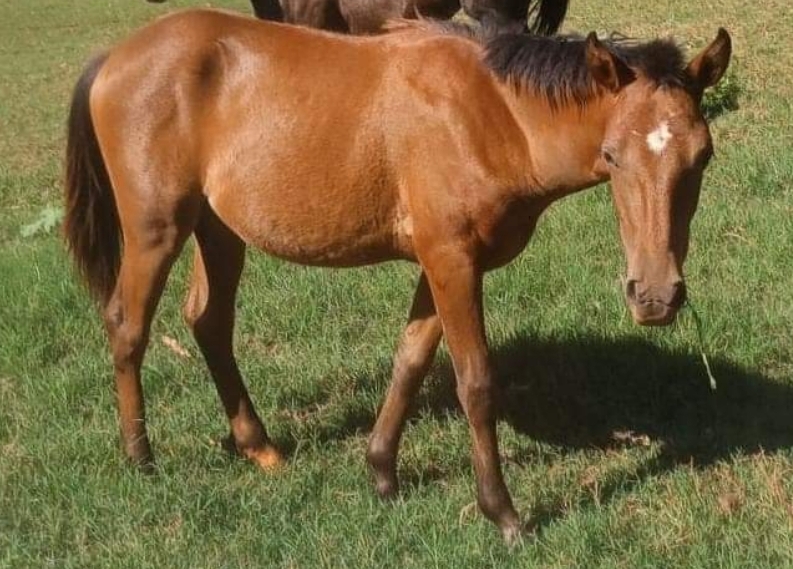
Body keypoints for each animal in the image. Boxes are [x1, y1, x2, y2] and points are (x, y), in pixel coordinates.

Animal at [65, 11, 732, 540]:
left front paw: (382, 473)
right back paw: (141, 458)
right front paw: (503, 514)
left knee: (208, 322)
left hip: (218, 229)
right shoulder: (452, 262)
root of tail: (114, 57)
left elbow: (409, 361)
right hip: (157, 229)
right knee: (128, 326)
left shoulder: (442, 264)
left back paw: (260, 448)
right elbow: (475, 383)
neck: (490, 114)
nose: (655, 296)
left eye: (703, 156)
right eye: (613, 155)